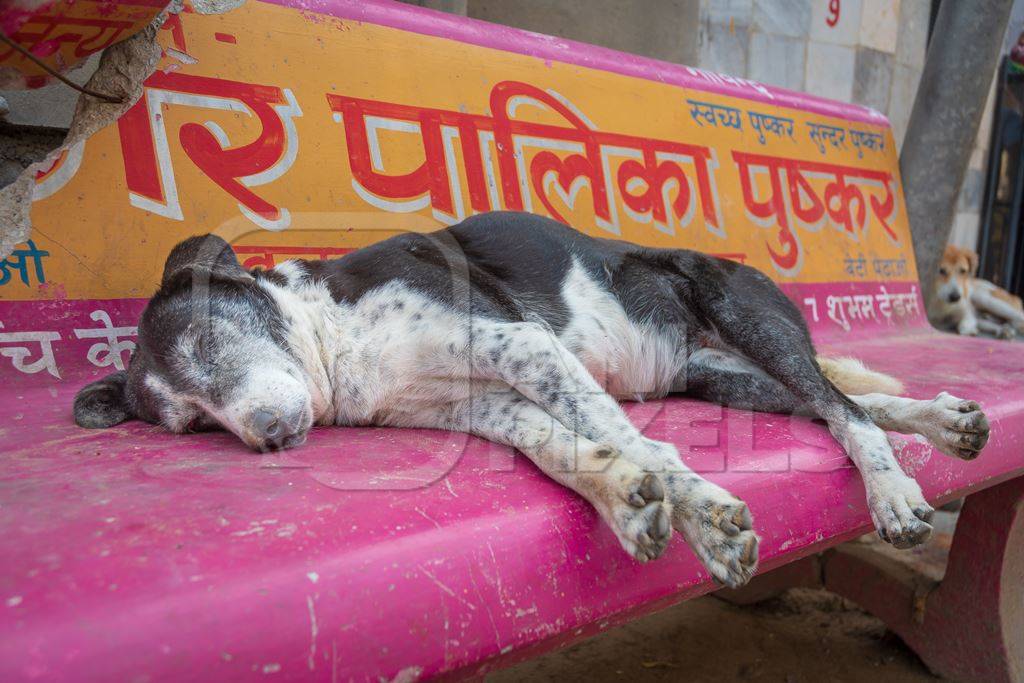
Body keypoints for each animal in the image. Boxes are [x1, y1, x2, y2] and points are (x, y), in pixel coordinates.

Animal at [75, 211, 987, 589]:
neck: (338, 339)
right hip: (723, 378)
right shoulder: (477, 405)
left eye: (207, 342)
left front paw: (701, 517)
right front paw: (624, 501)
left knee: (847, 408)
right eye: (190, 422)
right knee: (837, 402)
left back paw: (895, 489)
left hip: (747, 319)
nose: (266, 437)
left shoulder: (521, 346)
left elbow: (644, 442)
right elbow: (567, 451)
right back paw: (946, 421)